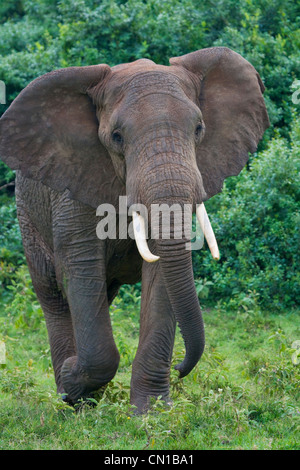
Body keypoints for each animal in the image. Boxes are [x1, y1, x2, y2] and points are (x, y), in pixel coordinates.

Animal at [0, 47, 270, 412]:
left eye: (199, 129)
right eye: (117, 138)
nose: (181, 367)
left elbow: (162, 278)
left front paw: (151, 412)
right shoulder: (73, 186)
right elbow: (80, 270)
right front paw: (73, 382)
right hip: (27, 216)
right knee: (53, 295)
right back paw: (70, 399)